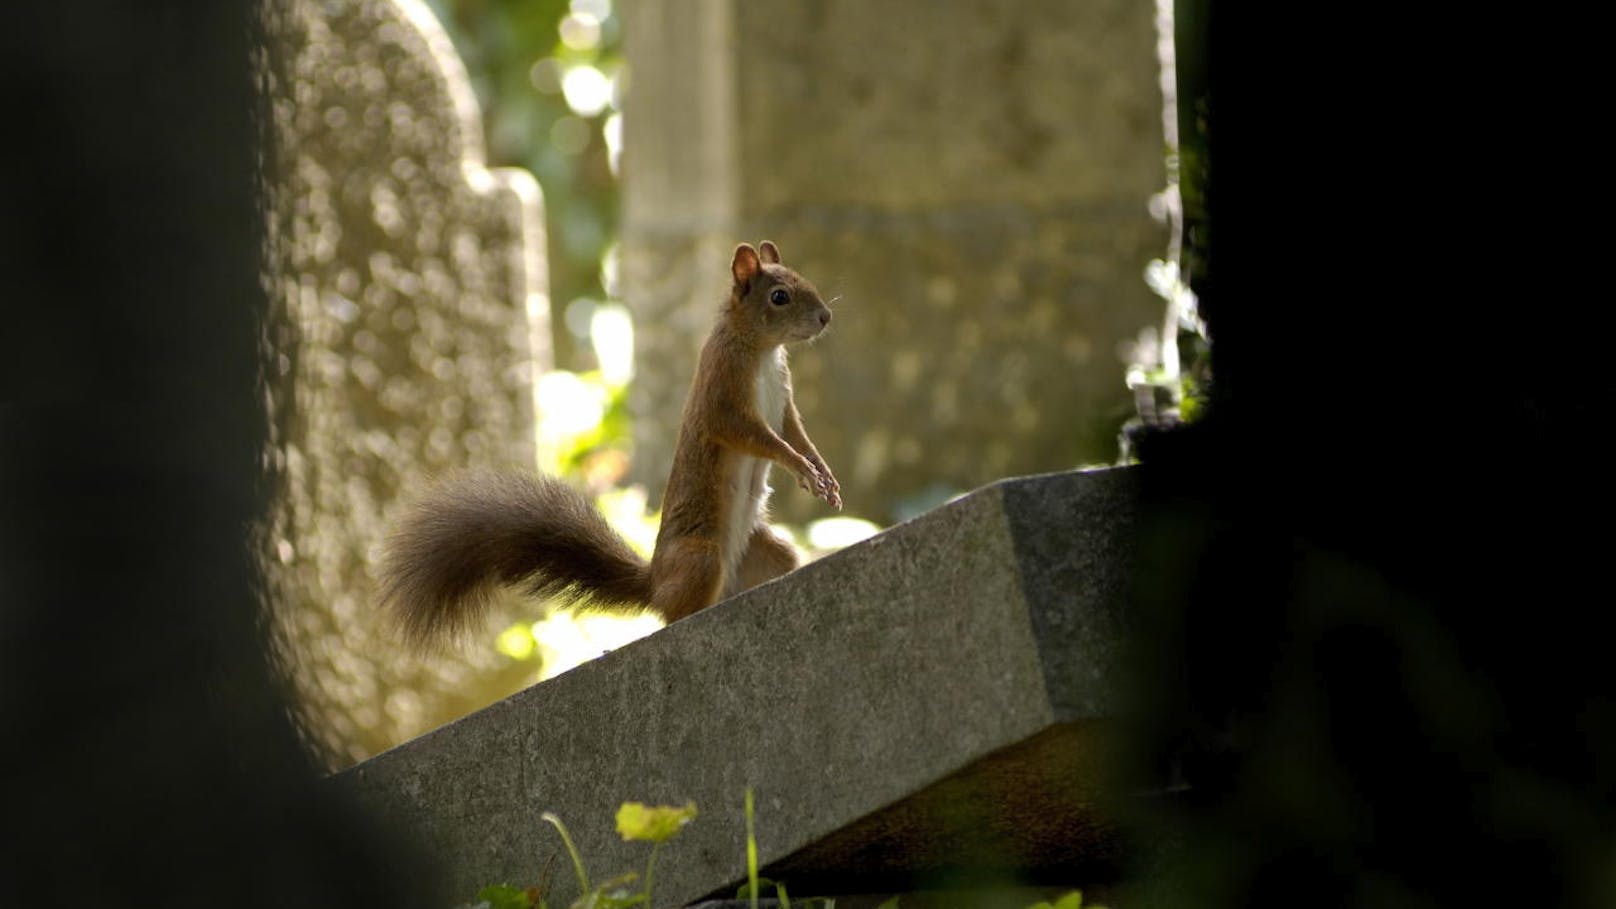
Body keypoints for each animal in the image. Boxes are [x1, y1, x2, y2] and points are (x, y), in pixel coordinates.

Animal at [374, 240, 833, 643]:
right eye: (779, 296)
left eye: (804, 279)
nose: (826, 317)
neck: (763, 349)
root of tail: (655, 584)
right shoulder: (722, 393)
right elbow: (756, 436)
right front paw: (799, 466)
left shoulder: (783, 403)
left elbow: (794, 432)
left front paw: (819, 468)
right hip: (701, 557)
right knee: (675, 616)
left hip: (768, 551)